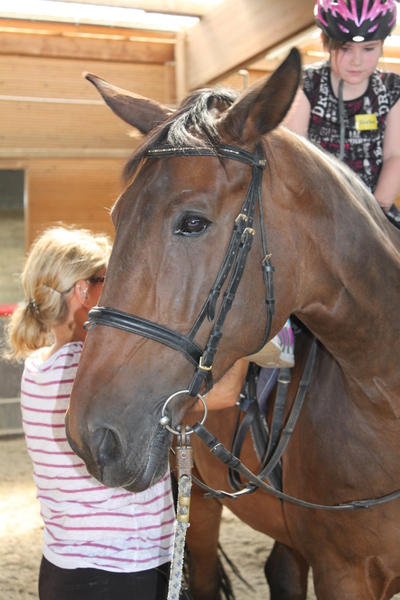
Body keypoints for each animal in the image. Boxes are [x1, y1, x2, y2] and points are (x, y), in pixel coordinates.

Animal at [66, 48, 400, 599]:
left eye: (193, 222)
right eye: (117, 219)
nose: (89, 436)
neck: (384, 401)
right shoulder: (343, 571)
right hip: (196, 504)